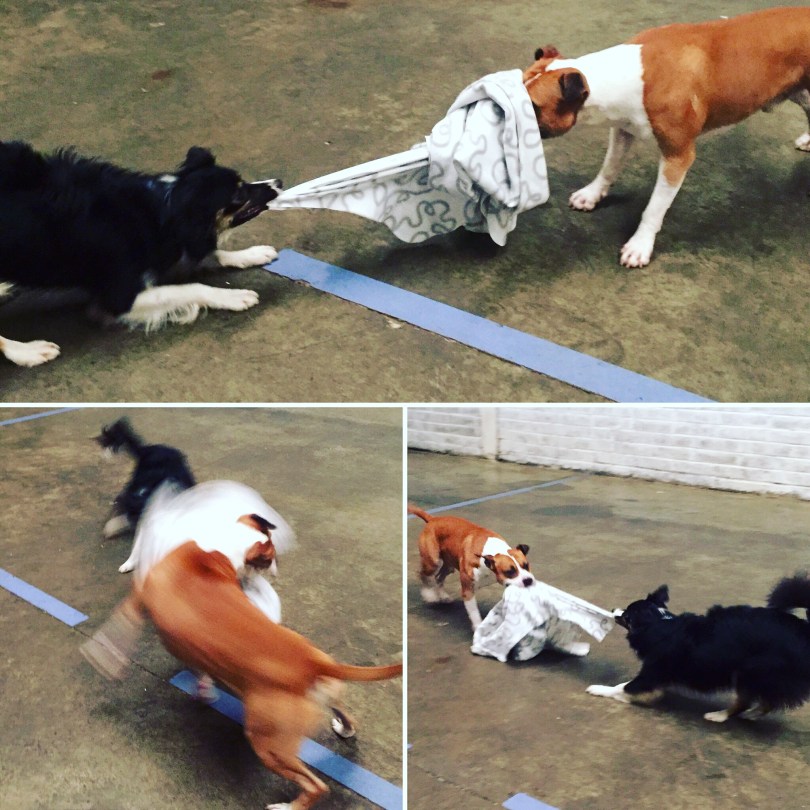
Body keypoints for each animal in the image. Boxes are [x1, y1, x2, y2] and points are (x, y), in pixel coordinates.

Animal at [0, 140, 281, 366]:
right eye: (238, 195)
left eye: (243, 182)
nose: (278, 182)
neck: (163, 209)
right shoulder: (118, 298)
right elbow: (193, 286)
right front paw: (235, 296)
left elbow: (212, 253)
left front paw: (252, 254)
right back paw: (29, 352)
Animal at [81, 540, 402, 810]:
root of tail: (308, 663)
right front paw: (205, 689)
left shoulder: (141, 597)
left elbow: (121, 623)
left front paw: (103, 655)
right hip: (321, 699)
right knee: (348, 718)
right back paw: (344, 728)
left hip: (269, 745)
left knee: (317, 786)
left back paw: (287, 807)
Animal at [523, 7, 810, 267]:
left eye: (533, 106)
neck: (625, 77)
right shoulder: (622, 130)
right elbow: (609, 166)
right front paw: (592, 194)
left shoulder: (677, 157)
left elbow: (654, 208)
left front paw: (640, 245)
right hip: (799, 91)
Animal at [587, 575, 810, 722]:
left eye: (626, 615)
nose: (613, 609)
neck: (659, 623)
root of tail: (803, 628)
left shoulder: (652, 673)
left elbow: (623, 687)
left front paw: (599, 689)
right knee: (763, 702)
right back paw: (751, 715)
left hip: (749, 671)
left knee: (747, 701)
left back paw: (719, 715)